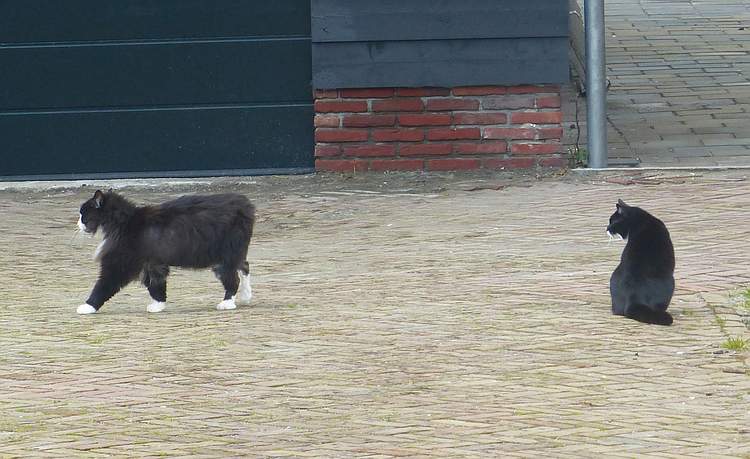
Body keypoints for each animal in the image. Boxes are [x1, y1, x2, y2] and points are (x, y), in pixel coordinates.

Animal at [76, 190, 255, 314]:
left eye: (83, 213)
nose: (77, 224)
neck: (124, 222)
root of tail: (244, 205)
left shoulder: (121, 262)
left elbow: (104, 285)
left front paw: (88, 306)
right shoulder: (153, 263)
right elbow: (156, 284)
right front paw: (158, 305)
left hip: (225, 256)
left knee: (233, 279)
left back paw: (227, 303)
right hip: (234, 252)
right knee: (245, 266)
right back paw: (246, 296)